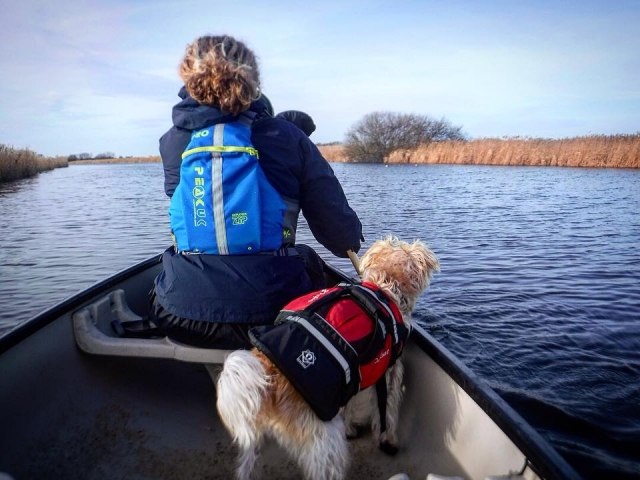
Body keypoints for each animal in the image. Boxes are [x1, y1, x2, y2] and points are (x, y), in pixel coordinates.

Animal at [215, 237, 440, 480]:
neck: (383, 288)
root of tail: (268, 374)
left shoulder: (350, 382)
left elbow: (350, 407)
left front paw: (351, 428)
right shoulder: (389, 375)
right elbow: (386, 412)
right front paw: (387, 440)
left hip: (254, 440)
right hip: (325, 442)